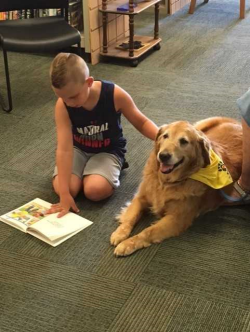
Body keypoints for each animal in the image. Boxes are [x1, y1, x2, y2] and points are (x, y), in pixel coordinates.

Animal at [110, 116, 242, 256]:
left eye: (184, 141)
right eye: (165, 136)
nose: (163, 156)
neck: (165, 183)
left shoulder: (177, 219)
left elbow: (148, 231)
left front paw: (127, 244)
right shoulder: (141, 197)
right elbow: (131, 216)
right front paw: (120, 233)